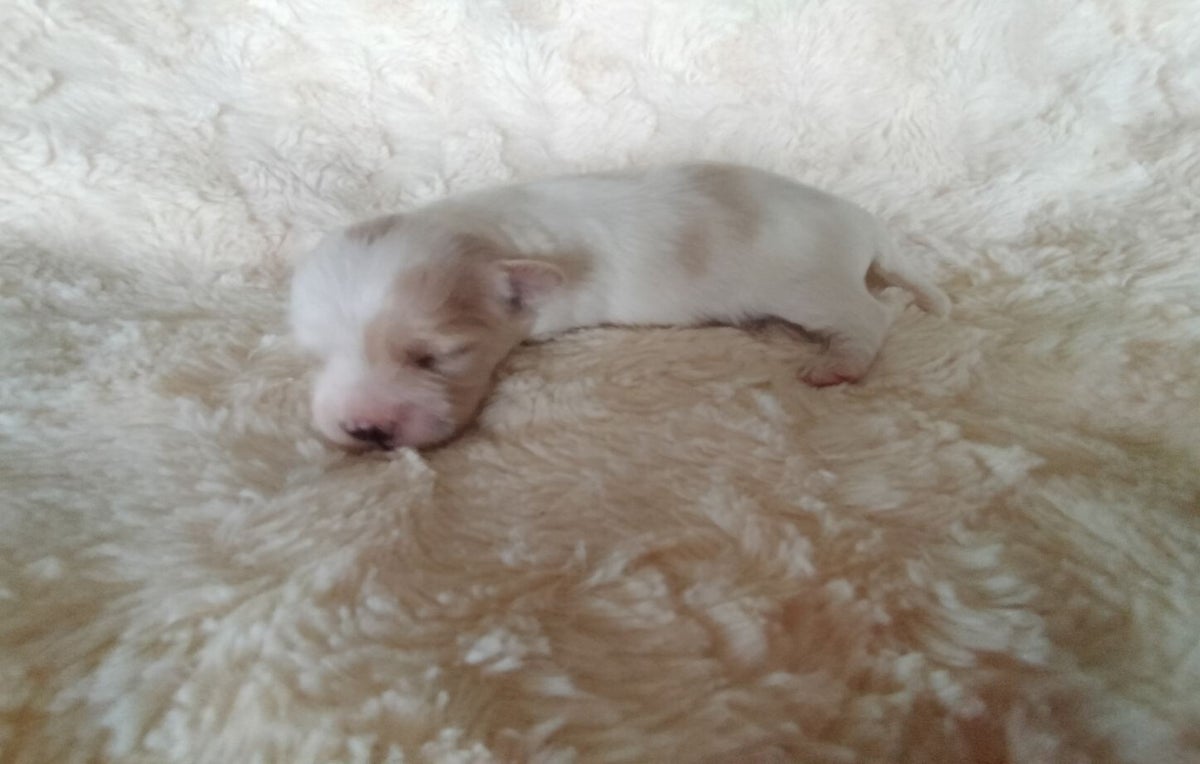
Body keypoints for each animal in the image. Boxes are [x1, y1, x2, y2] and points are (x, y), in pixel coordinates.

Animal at [290, 163, 949, 450]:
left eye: (437, 358)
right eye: (316, 358)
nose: (365, 429)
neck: (484, 232)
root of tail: (864, 221)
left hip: (808, 286)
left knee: (872, 315)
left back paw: (839, 363)